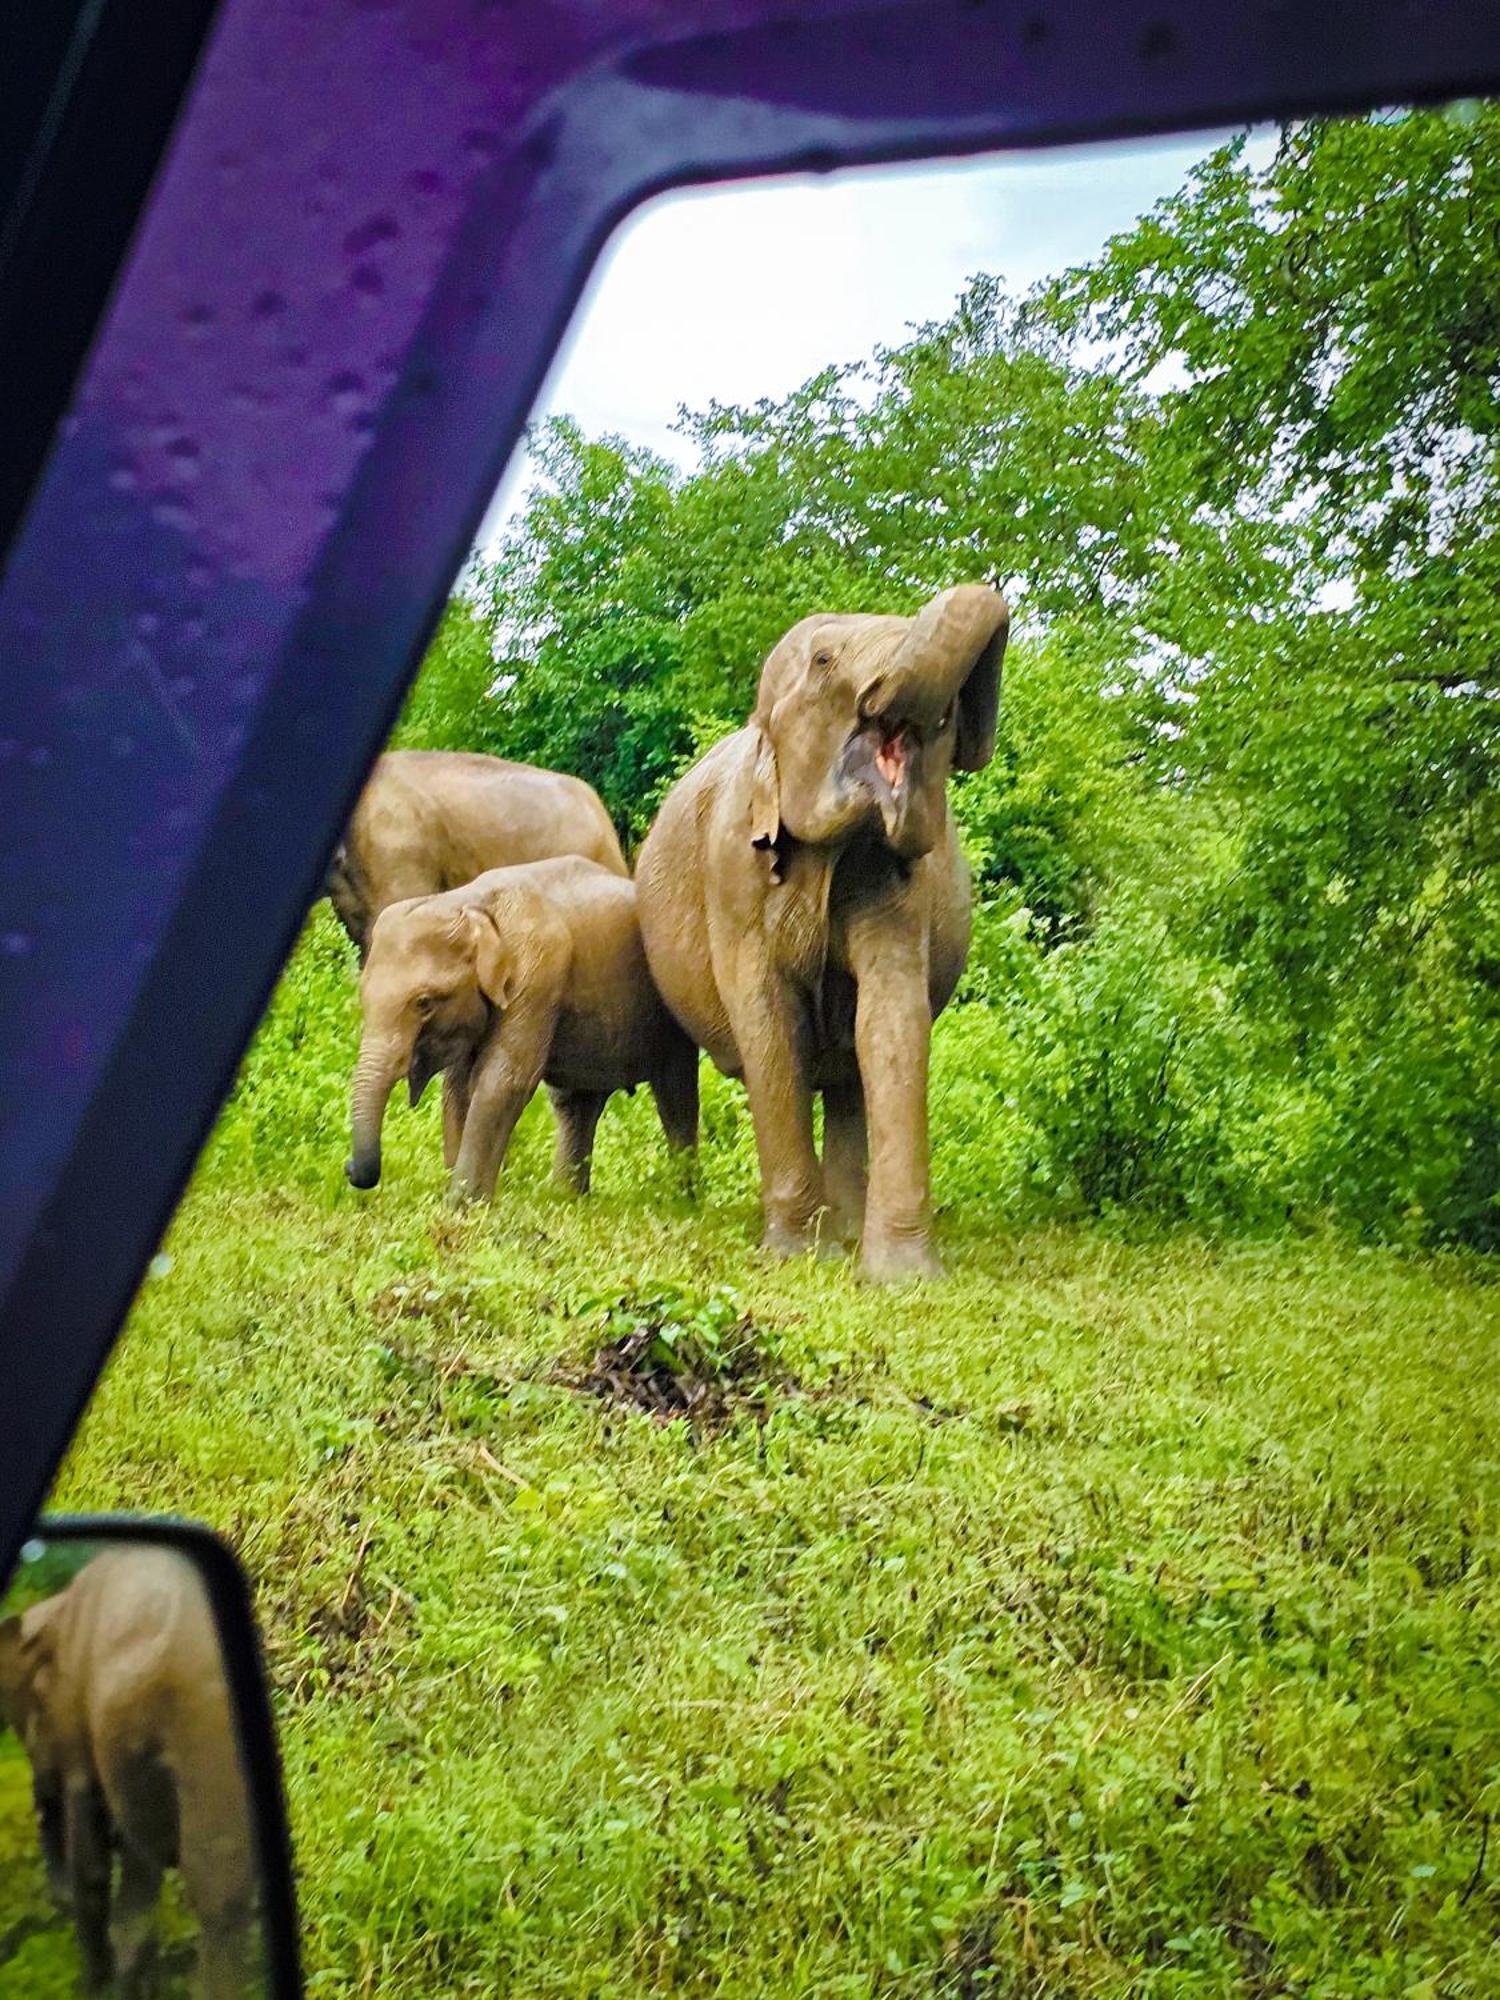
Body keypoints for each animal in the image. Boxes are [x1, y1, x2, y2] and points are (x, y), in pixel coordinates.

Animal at [0, 1552, 258, 1992]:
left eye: (27, 1718)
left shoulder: (81, 1754)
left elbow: (94, 1872)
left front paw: (94, 1984)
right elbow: (133, 1910)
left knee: (217, 1897)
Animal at [346, 852, 700, 1192]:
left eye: (423, 1003)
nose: (350, 1169)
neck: (467, 903)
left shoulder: (538, 972)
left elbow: (501, 1083)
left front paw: (464, 1207)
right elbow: (457, 1086)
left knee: (675, 1095)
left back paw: (680, 1200)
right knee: (576, 1104)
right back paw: (566, 1199)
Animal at [636, 584, 1012, 1288]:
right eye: (823, 660)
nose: (958, 709)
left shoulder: (900, 885)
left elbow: (890, 1022)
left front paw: (903, 1278)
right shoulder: (733, 873)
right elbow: (769, 1023)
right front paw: (796, 1256)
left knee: (848, 1079)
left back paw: (846, 1229)